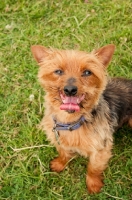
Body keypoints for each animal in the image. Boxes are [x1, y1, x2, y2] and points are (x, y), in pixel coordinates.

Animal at [31, 44, 132, 194]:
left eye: (87, 72)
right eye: (58, 71)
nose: (70, 89)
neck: (71, 122)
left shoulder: (100, 149)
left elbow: (93, 168)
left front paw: (93, 184)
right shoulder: (58, 138)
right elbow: (63, 152)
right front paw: (60, 164)